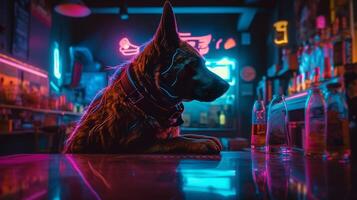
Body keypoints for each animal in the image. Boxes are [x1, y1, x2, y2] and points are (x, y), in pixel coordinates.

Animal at [63, 1, 228, 154]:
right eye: (194, 64)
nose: (227, 85)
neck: (143, 98)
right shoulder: (135, 144)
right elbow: (175, 140)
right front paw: (200, 142)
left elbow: (187, 135)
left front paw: (204, 137)